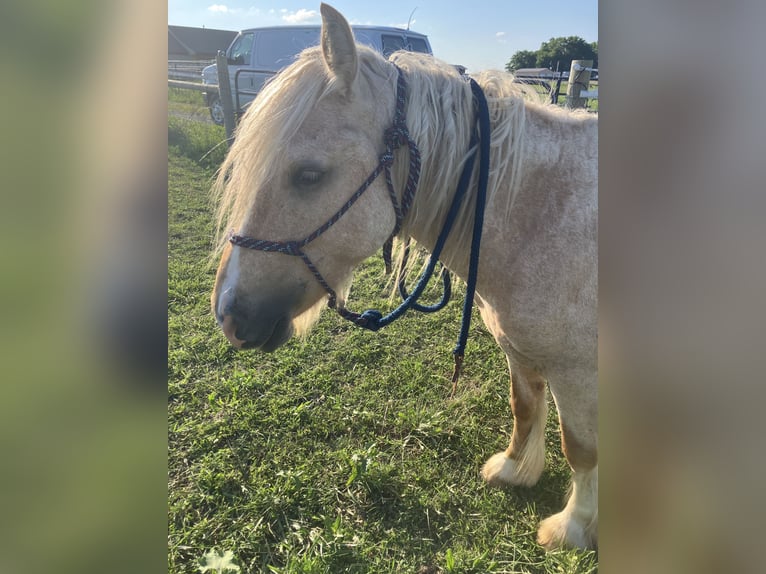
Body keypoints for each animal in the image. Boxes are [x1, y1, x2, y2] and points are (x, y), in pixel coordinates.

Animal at [211, 3, 597, 550]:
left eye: (309, 175)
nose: (229, 315)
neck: (537, 211)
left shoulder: (579, 372)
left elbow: (580, 449)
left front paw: (573, 527)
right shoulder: (520, 351)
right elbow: (524, 409)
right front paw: (513, 470)